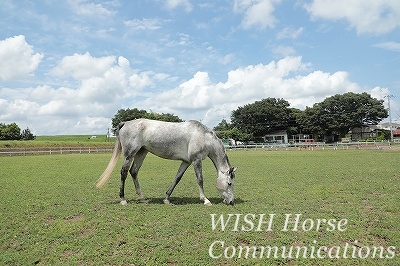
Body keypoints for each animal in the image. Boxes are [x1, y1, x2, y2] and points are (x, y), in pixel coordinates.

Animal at [95, 119, 236, 206]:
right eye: (229, 183)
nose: (231, 202)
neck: (204, 137)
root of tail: (126, 123)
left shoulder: (186, 162)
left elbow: (177, 178)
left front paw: (167, 198)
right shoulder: (196, 160)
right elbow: (200, 179)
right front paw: (205, 200)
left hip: (141, 153)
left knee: (133, 171)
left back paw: (141, 197)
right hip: (129, 155)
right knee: (124, 173)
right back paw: (123, 199)